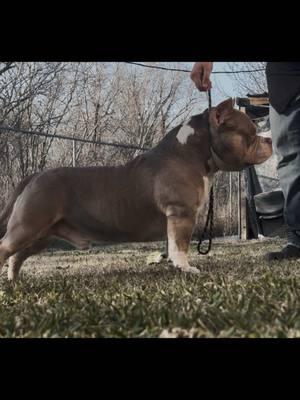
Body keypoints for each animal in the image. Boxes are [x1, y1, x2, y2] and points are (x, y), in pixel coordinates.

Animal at [0, 99, 272, 282]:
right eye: (251, 132)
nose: (269, 139)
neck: (190, 153)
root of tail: (35, 175)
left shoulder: (176, 218)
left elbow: (172, 244)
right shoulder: (181, 213)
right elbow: (180, 245)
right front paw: (186, 268)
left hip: (41, 235)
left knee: (17, 256)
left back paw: (14, 280)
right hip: (27, 227)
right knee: (6, 249)